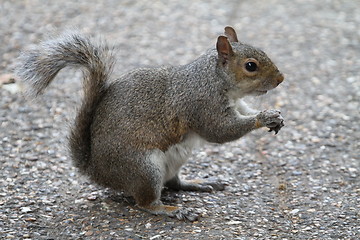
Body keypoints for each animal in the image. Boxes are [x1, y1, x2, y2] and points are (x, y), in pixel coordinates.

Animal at [16, 26, 284, 221]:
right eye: (251, 66)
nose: (281, 79)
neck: (213, 78)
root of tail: (96, 171)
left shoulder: (236, 104)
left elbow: (245, 111)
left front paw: (274, 115)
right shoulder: (201, 105)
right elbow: (220, 131)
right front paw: (263, 118)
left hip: (174, 160)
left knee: (174, 184)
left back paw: (198, 183)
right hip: (143, 168)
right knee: (145, 203)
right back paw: (171, 210)